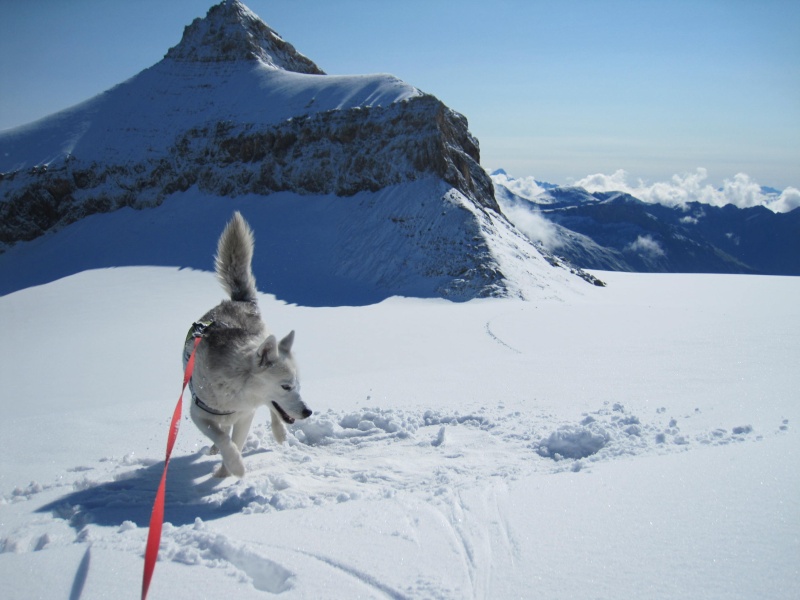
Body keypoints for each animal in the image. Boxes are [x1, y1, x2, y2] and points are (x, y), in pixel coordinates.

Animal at [184, 211, 312, 478]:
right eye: (286, 386)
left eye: (298, 385)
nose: (308, 412)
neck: (236, 385)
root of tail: (239, 301)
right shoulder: (199, 414)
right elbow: (224, 439)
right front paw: (234, 466)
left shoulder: (245, 415)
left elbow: (236, 440)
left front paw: (226, 472)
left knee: (273, 412)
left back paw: (279, 433)